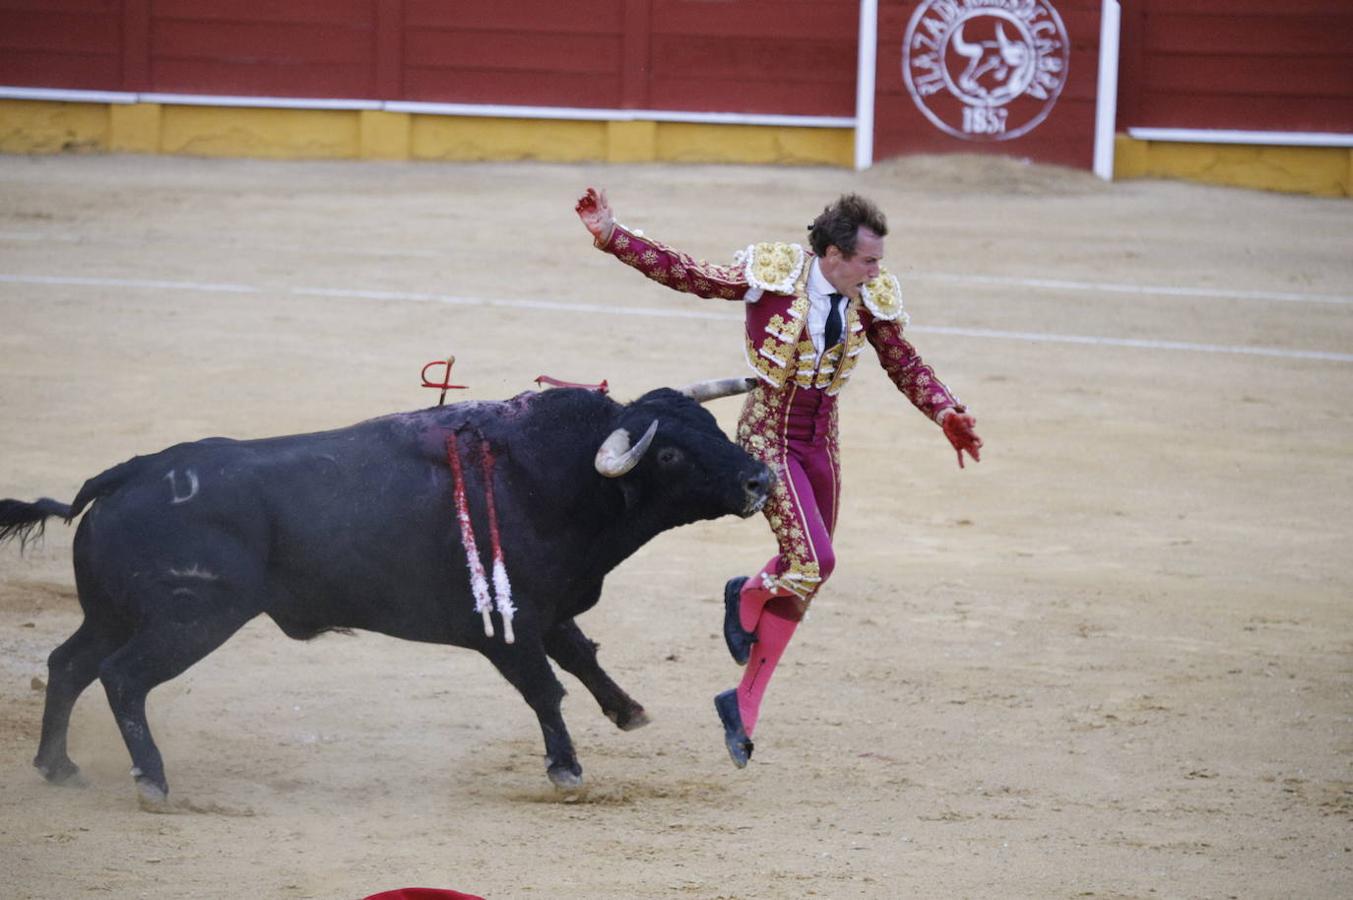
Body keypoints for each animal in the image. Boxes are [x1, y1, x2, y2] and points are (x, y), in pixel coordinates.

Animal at [0, 376, 779, 801]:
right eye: (669, 453)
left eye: (710, 424)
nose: (760, 480)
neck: (554, 480)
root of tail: (125, 474)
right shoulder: (506, 628)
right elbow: (545, 689)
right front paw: (566, 768)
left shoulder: (546, 608)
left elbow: (582, 657)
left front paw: (629, 712)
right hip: (188, 620)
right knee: (122, 678)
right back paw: (153, 783)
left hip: (111, 613)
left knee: (67, 665)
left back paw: (58, 767)